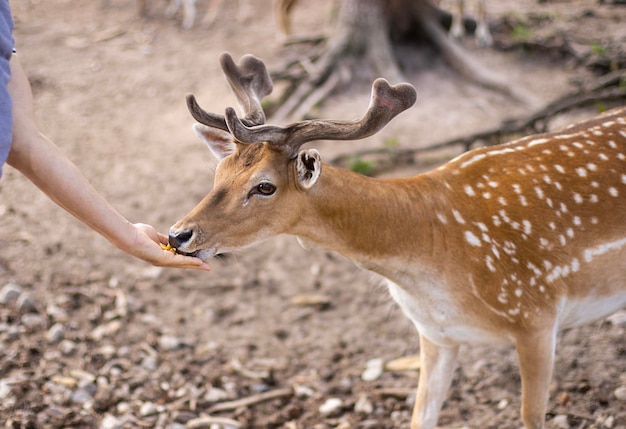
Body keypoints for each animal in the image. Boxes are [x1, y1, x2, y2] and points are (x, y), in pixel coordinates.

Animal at [168, 53, 624, 428]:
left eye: (264, 187)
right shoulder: (435, 333)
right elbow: (421, 417)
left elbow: (531, 417)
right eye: (219, 172)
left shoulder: (537, 315)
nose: (178, 234)